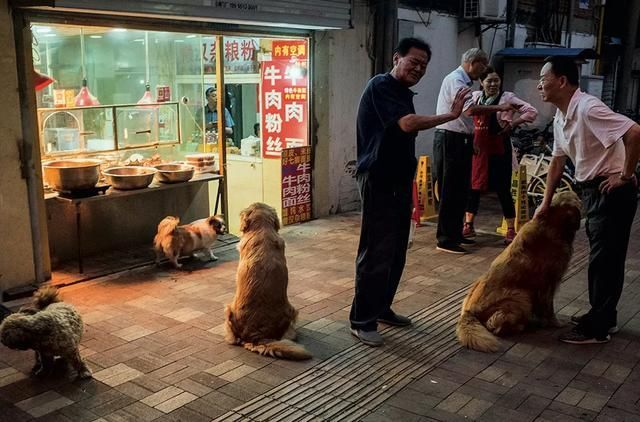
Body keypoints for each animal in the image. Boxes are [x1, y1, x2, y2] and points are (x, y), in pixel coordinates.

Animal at [456, 191, 580, 352]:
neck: (553, 223)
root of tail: (468, 312)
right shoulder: (549, 282)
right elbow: (549, 308)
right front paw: (555, 323)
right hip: (522, 297)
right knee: (494, 325)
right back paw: (521, 326)